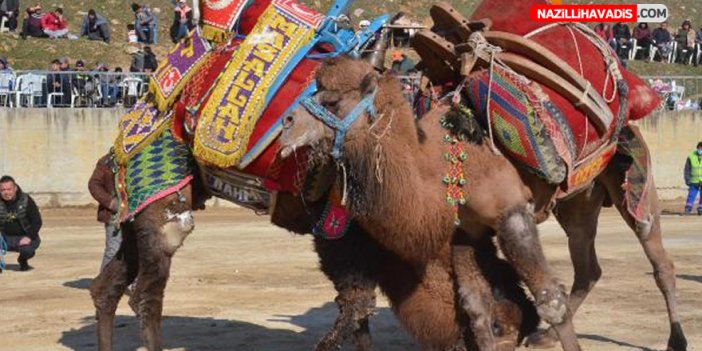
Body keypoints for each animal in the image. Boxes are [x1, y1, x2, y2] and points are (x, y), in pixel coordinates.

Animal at [280, 55, 688, 351]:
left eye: (333, 100)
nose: (286, 123)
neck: (440, 162)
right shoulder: (467, 229)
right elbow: (476, 308)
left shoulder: (511, 213)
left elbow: (549, 300)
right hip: (578, 203)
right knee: (588, 266)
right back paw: (543, 337)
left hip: (633, 183)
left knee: (659, 258)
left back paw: (677, 339)